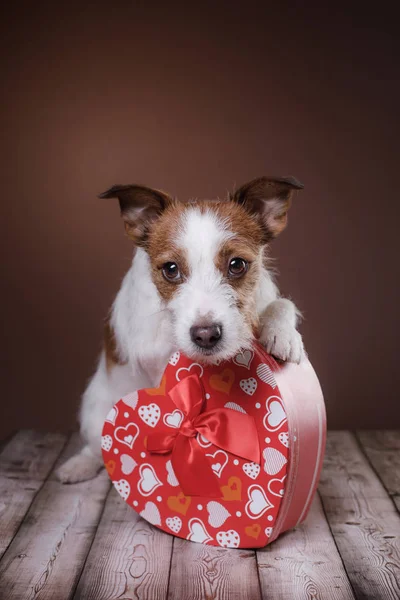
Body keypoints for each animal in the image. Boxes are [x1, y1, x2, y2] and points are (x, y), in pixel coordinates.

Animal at [56, 177, 304, 482]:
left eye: (237, 265)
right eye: (170, 269)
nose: (206, 335)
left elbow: (281, 303)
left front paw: (282, 333)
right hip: (94, 408)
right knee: (94, 446)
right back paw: (79, 464)